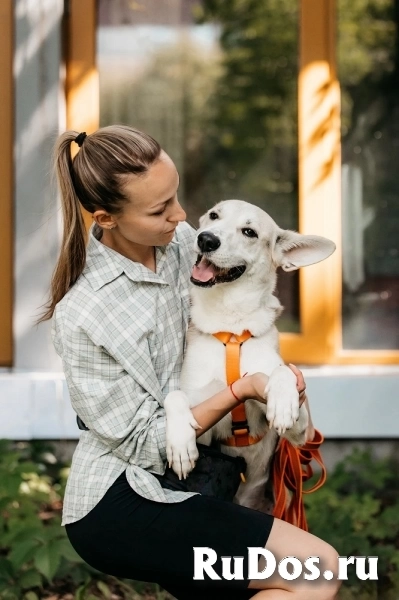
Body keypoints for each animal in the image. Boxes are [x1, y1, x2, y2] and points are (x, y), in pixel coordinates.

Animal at [164, 200, 336, 510]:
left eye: (249, 232)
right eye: (214, 215)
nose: (206, 239)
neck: (231, 329)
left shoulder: (301, 432)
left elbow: (282, 371)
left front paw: (282, 401)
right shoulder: (203, 419)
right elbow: (175, 396)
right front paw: (180, 441)